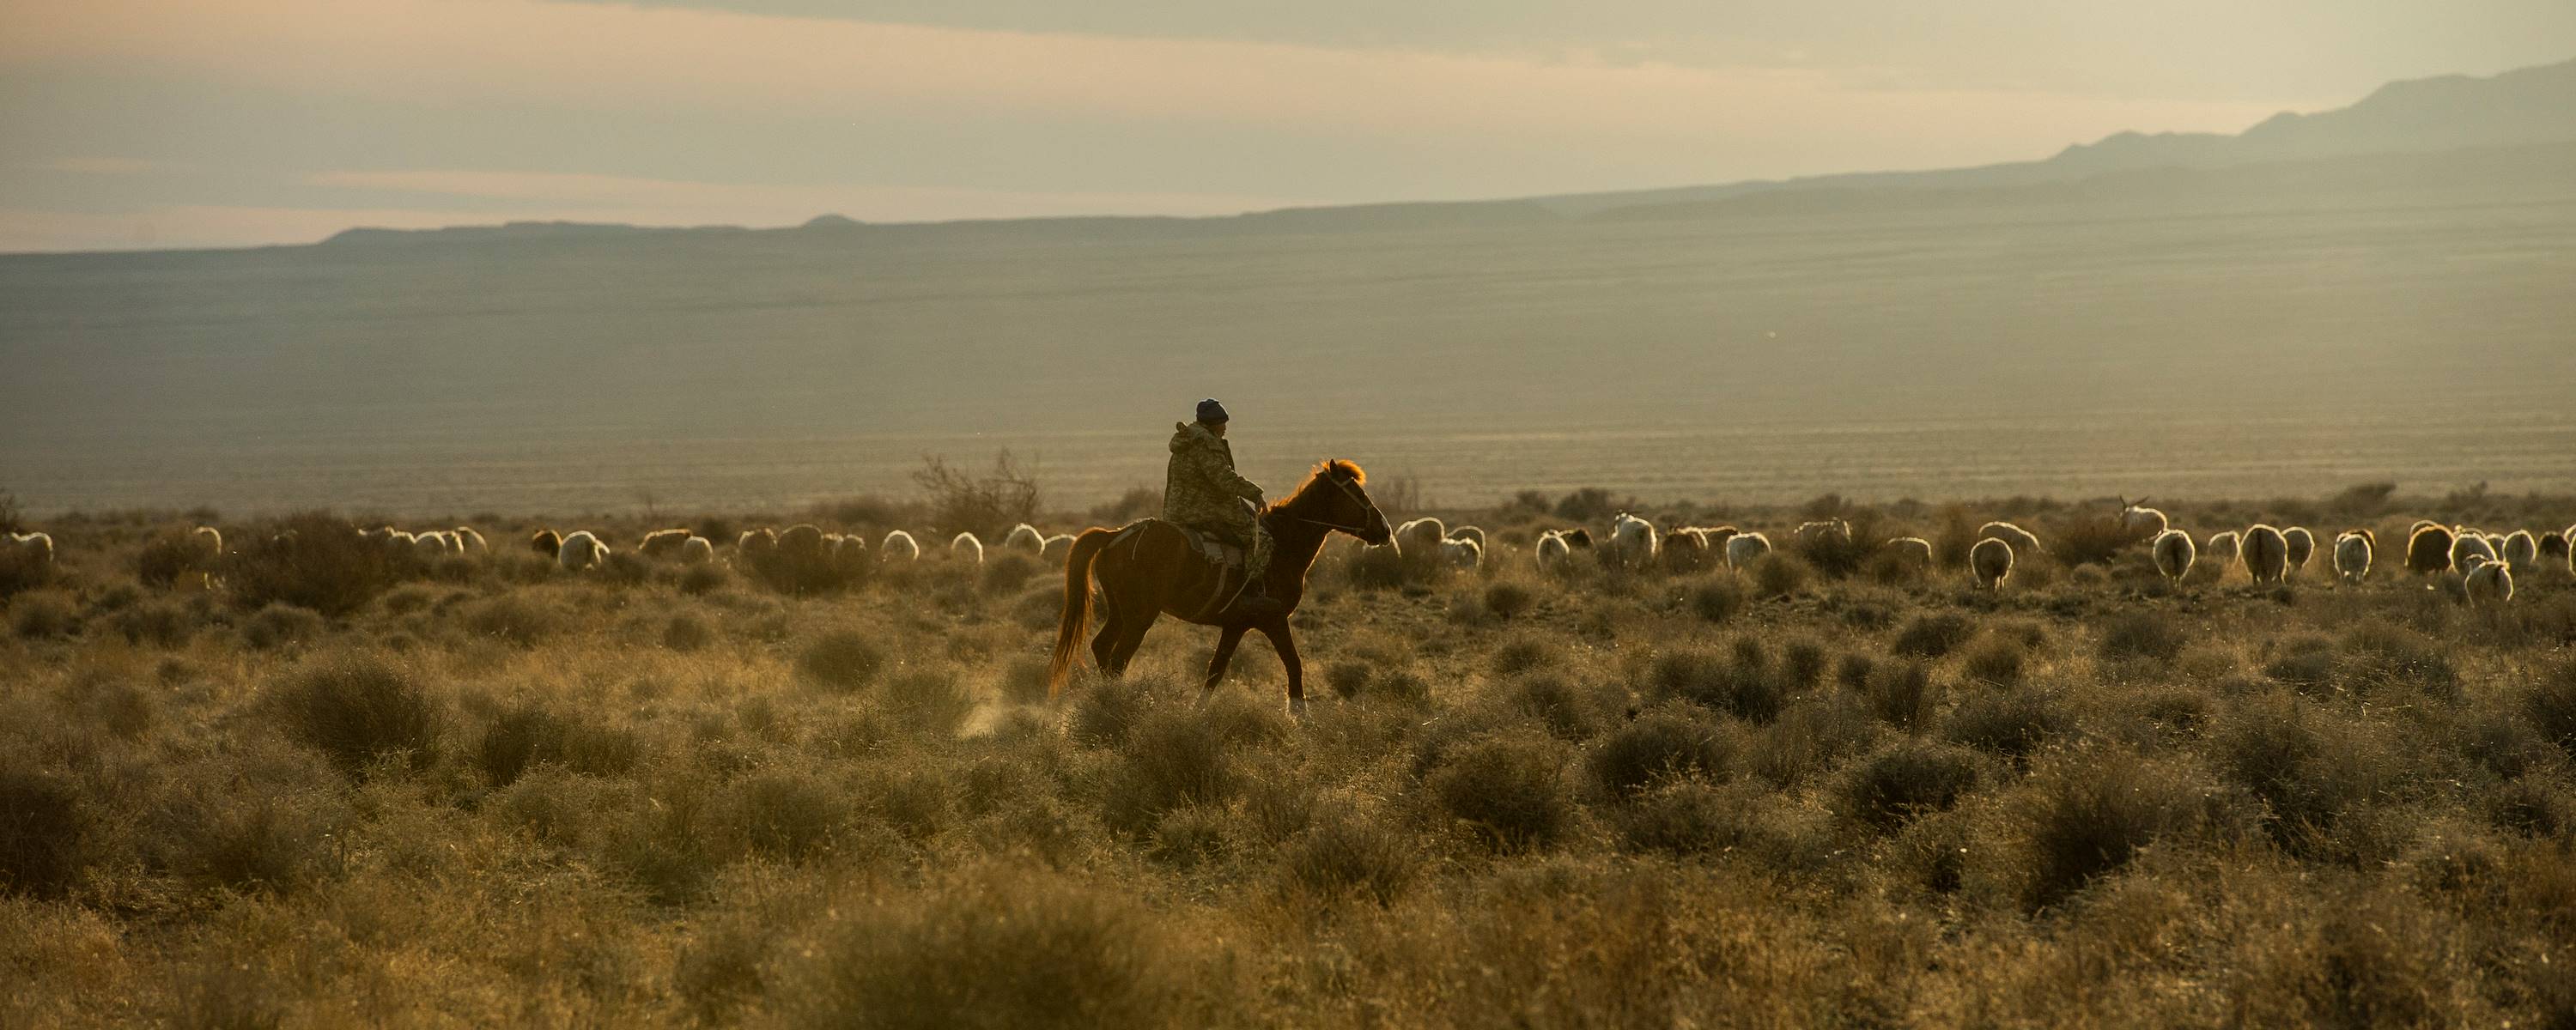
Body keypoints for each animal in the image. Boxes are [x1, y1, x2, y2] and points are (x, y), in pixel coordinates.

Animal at [1048, 459, 1393, 714]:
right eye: (1356, 493)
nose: (1385, 529)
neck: (1284, 544)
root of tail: (1115, 535)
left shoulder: (1235, 624)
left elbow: (1216, 670)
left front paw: (1198, 713)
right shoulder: (1274, 619)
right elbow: (1293, 662)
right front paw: (1300, 715)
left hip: (1120, 611)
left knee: (1102, 647)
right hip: (1140, 615)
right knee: (1118, 658)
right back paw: (1118, 705)